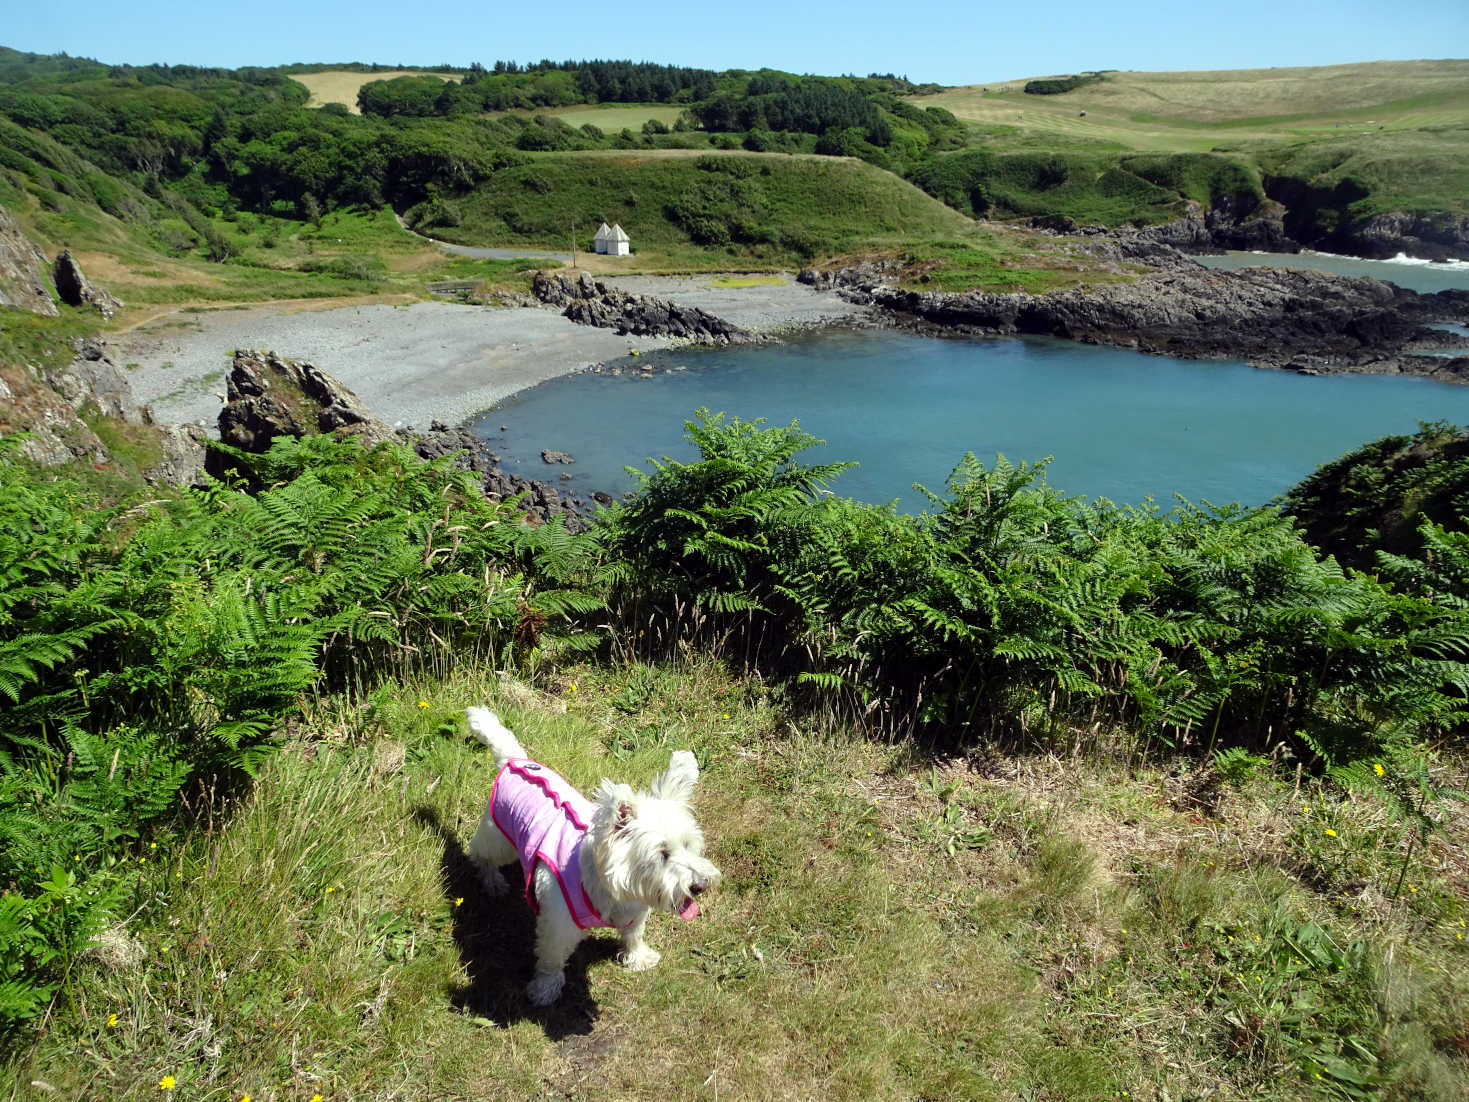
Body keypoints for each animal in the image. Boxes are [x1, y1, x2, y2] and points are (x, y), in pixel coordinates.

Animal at [464, 708, 722, 1010]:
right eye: (662, 853)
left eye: (688, 845)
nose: (700, 885)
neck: (612, 890)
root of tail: (515, 761)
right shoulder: (558, 925)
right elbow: (551, 959)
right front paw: (544, 989)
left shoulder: (635, 911)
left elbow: (634, 935)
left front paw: (638, 957)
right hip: (499, 838)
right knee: (481, 854)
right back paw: (492, 882)